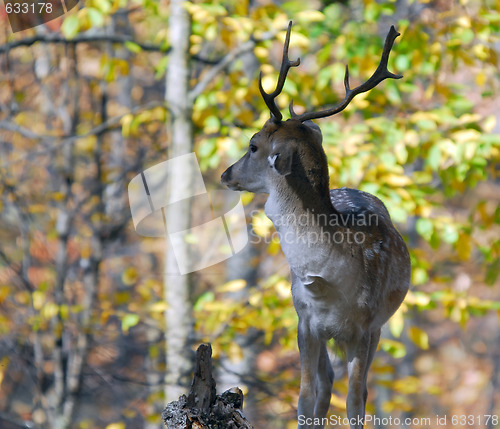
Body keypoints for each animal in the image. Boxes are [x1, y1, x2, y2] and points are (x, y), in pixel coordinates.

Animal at [222, 22, 410, 428]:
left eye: (253, 145)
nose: (226, 173)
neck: (330, 278)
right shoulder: (305, 321)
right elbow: (305, 395)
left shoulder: (366, 326)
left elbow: (356, 400)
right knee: (325, 384)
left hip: (377, 328)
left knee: (350, 387)